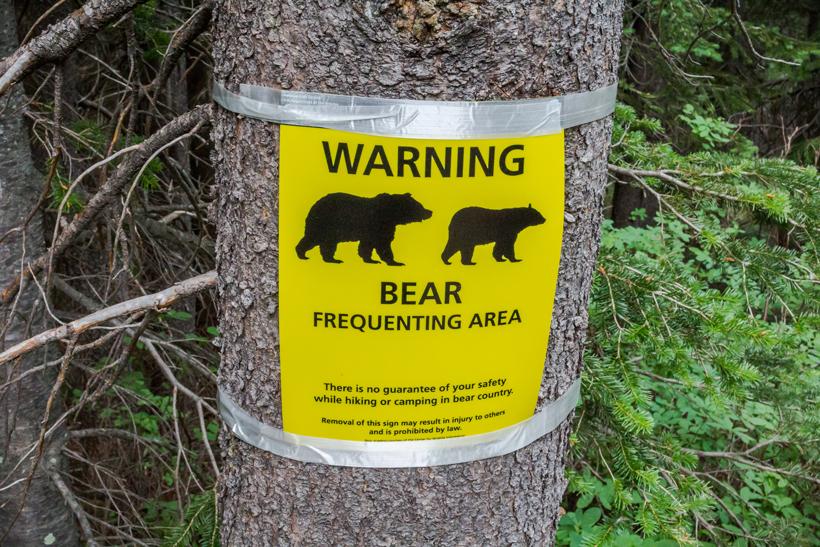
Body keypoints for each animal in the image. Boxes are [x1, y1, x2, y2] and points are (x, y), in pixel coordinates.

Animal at [296, 192, 432, 266]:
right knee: (313, 238)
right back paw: (302, 254)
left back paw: (332, 259)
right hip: (325, 223)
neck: (391, 215)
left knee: (328, 244)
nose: (429, 212)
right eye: (420, 206)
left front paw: (370, 259)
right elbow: (383, 244)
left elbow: (367, 245)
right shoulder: (378, 226)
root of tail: (314, 205)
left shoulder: (376, 230)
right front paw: (395, 262)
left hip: (331, 230)